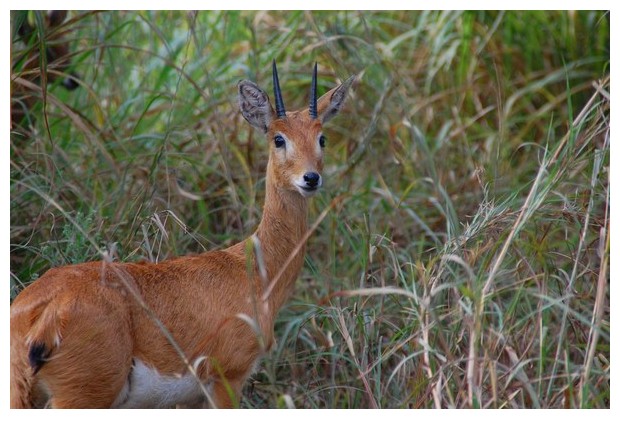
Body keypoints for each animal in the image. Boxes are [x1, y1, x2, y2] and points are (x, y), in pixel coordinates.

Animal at [9, 61, 354, 408]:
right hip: (82, 396)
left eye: (321, 138)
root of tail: (45, 312)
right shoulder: (227, 378)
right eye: (278, 138)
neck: (256, 271)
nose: (311, 178)